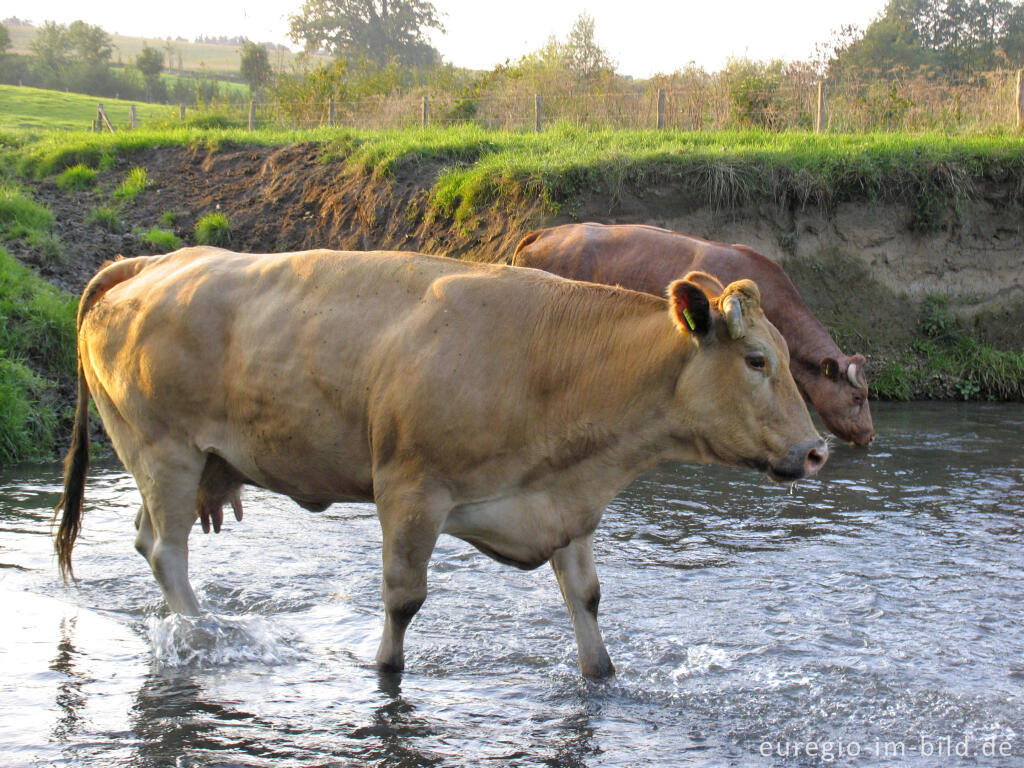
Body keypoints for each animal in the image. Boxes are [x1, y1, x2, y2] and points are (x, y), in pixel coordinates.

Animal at [51, 246, 827, 679]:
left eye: (786, 360)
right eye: (757, 361)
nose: (817, 448)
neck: (547, 363)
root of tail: (151, 264)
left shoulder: (566, 504)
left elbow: (587, 600)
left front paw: (603, 674)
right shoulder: (410, 489)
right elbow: (403, 601)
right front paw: (385, 671)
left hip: (182, 460)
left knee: (150, 544)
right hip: (163, 449)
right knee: (165, 549)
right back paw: (201, 631)